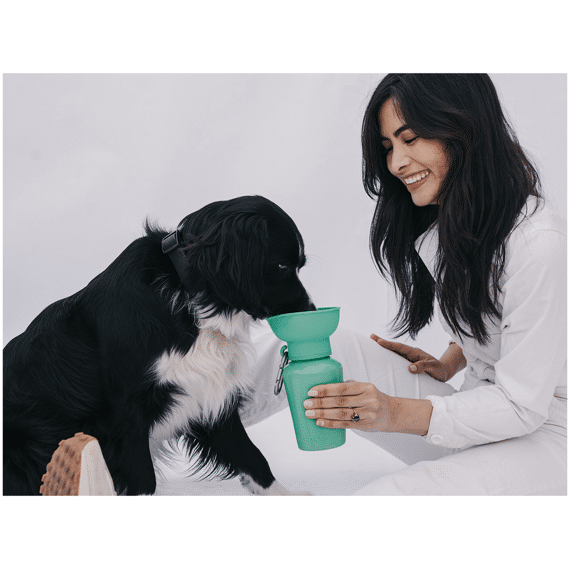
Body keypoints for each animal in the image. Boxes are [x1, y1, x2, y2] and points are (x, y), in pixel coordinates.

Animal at [3, 195, 315, 495]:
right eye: (282, 266)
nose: (312, 310)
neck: (189, 296)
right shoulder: (126, 412)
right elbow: (142, 477)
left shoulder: (209, 391)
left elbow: (251, 456)